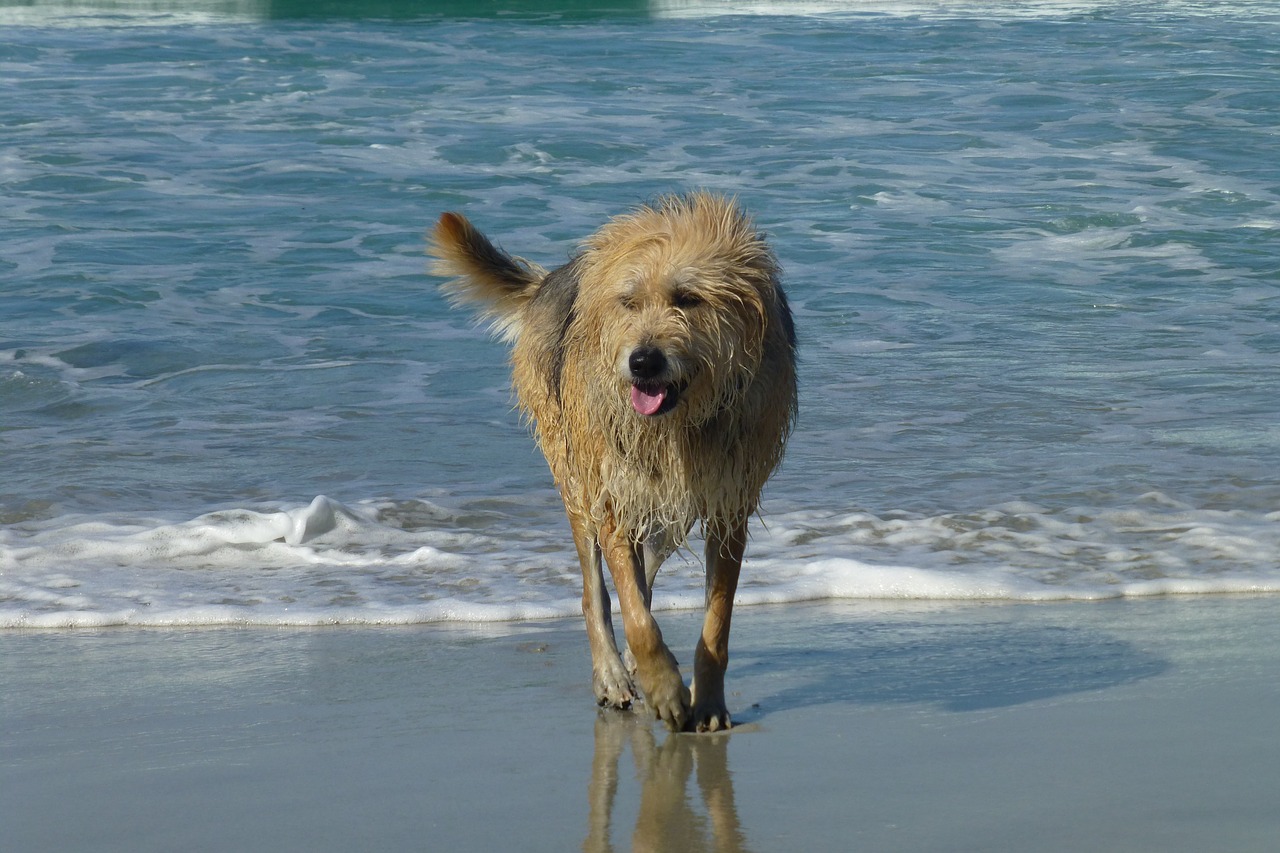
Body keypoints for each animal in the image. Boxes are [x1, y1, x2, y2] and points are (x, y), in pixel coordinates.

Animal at [430, 194, 793, 732]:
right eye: (629, 302)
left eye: (688, 298)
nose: (643, 362)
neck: (676, 426)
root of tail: (551, 279)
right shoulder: (613, 498)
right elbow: (637, 616)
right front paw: (664, 687)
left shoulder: (728, 505)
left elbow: (716, 623)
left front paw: (706, 701)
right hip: (575, 479)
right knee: (595, 592)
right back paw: (614, 675)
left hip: (667, 519)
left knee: (645, 575)